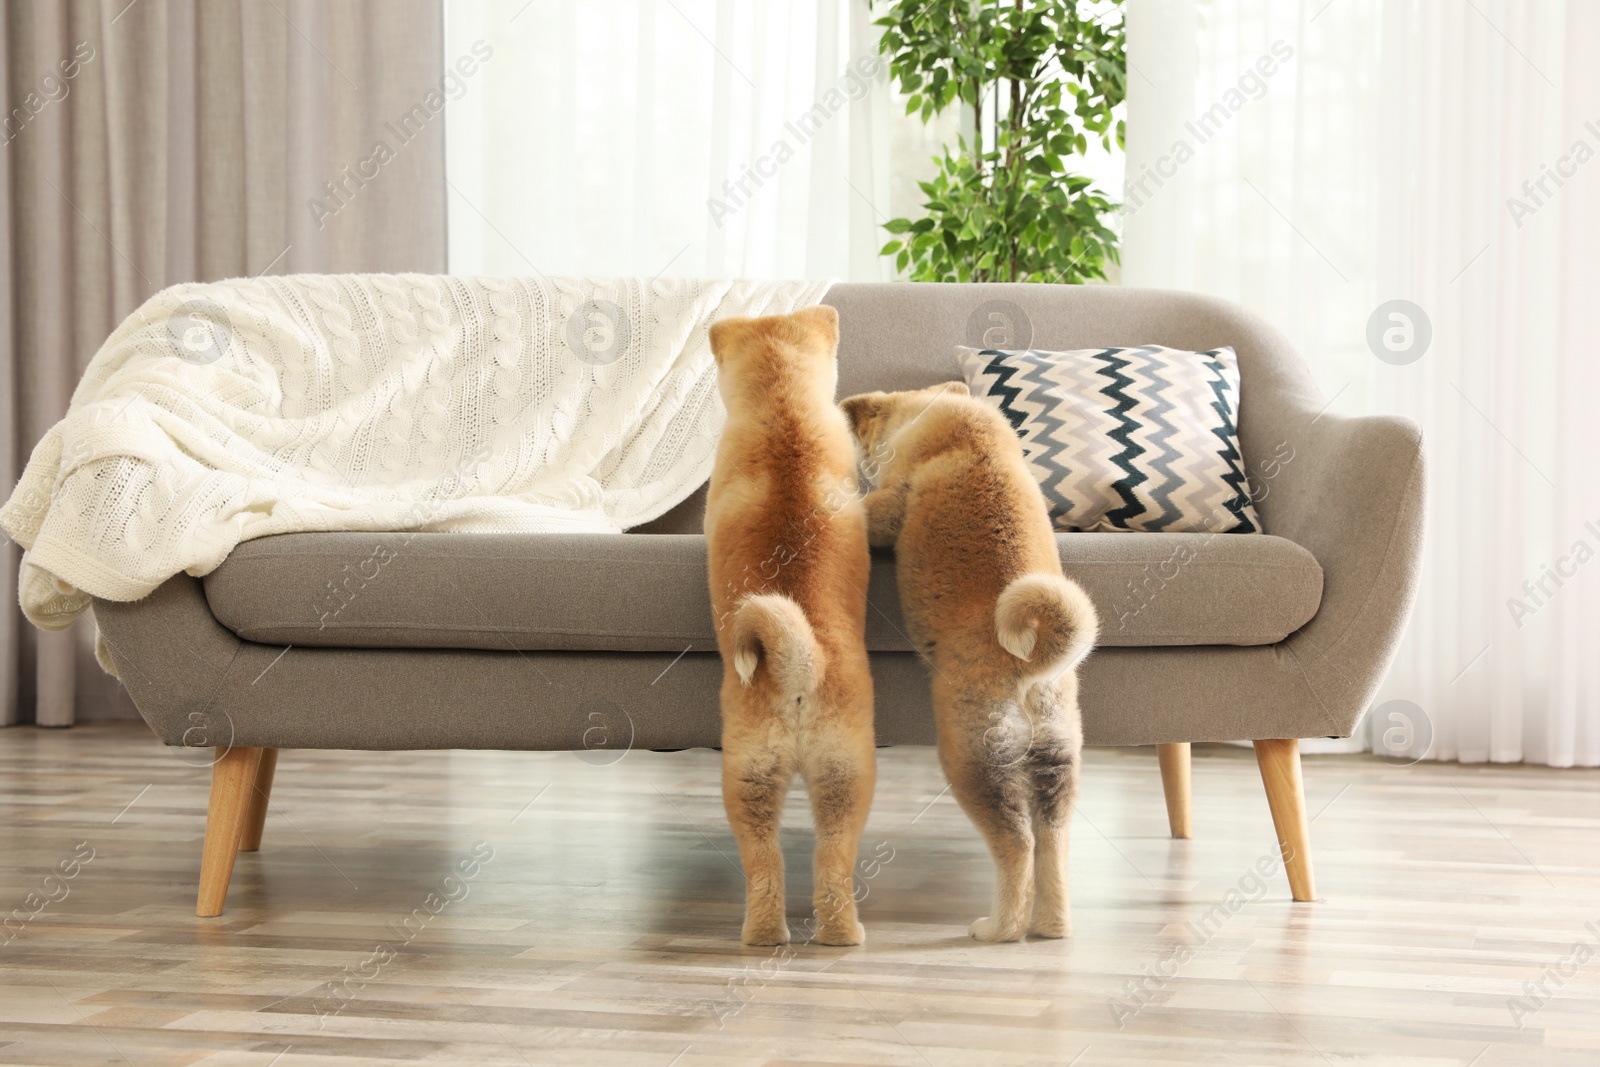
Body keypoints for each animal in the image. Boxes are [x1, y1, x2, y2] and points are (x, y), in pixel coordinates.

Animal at [707, 303, 876, 947]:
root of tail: (800, 668)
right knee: (819, 860)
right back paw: (824, 934)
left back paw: (778, 934)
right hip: (835, 774)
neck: (784, 411)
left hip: (766, 774)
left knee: (774, 861)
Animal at [838, 383, 1100, 940]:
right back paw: (1051, 926)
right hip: (1058, 759)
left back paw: (997, 927)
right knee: (1052, 842)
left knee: (1017, 844)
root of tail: (1029, 666)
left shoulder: (885, 508)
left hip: (974, 759)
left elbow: (867, 510)